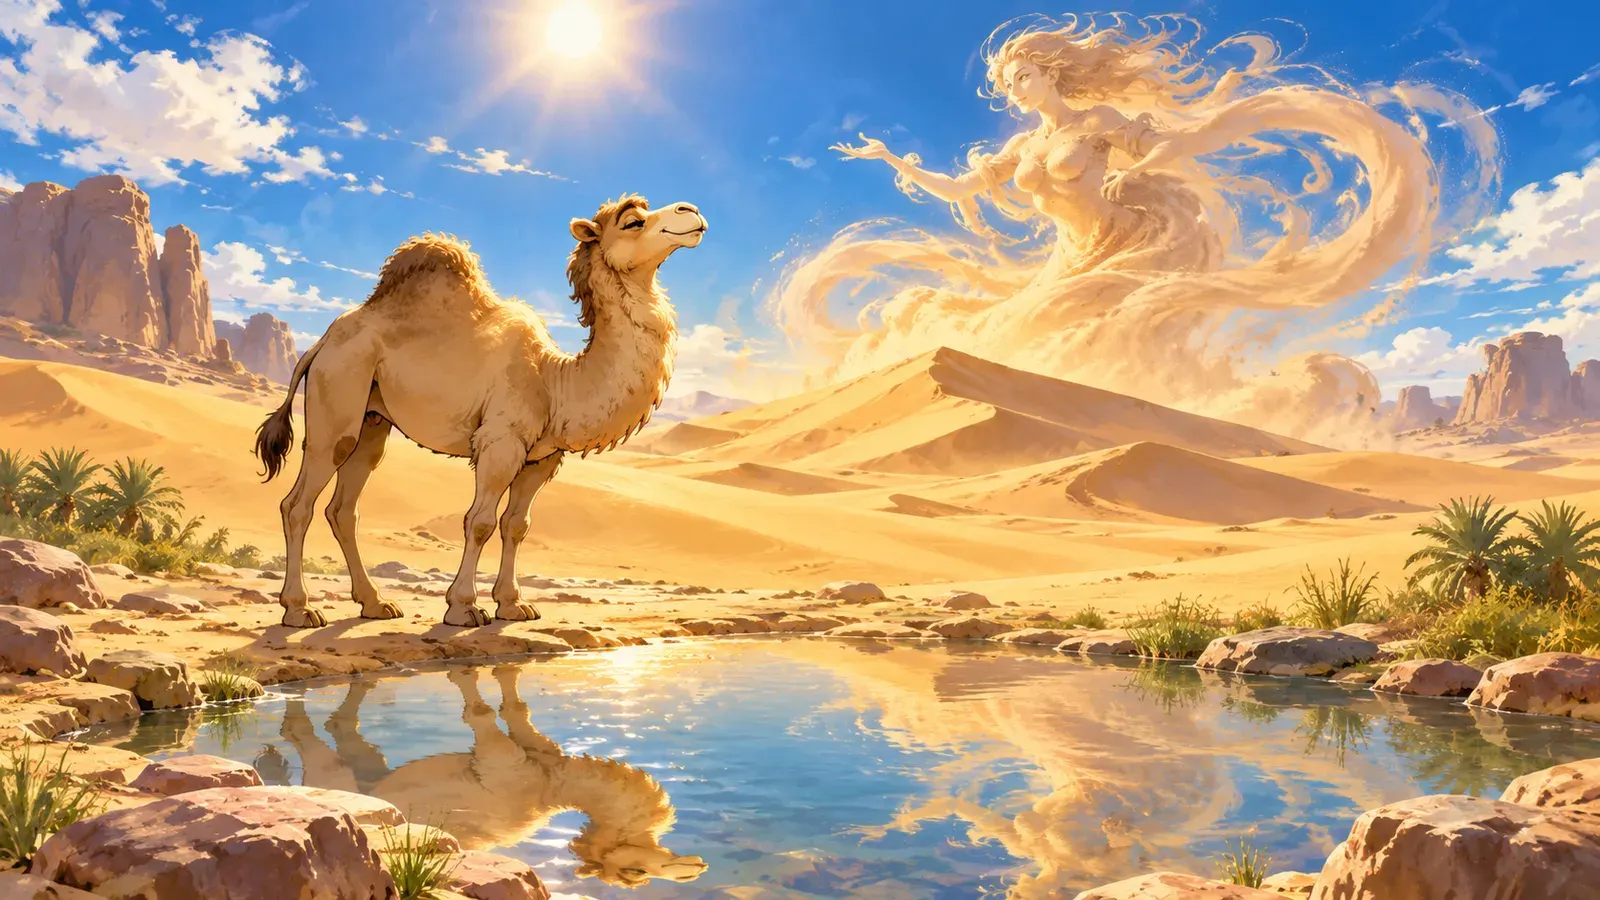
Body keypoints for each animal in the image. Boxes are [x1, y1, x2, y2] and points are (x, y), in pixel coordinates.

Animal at [254, 195, 706, 628]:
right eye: (633, 221)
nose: (693, 212)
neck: (555, 380)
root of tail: (320, 344)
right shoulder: (500, 441)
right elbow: (481, 521)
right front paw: (463, 608)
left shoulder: (542, 457)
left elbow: (516, 525)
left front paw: (513, 604)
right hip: (337, 399)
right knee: (298, 504)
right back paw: (299, 610)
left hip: (371, 422)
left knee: (343, 509)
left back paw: (376, 603)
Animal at [276, 666, 708, 888]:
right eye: (635, 872)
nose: (696, 868)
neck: (550, 785)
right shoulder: (497, 758)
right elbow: (480, 712)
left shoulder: (528, 749)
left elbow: (515, 708)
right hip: (337, 777)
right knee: (315, 746)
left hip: (366, 772)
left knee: (342, 732)